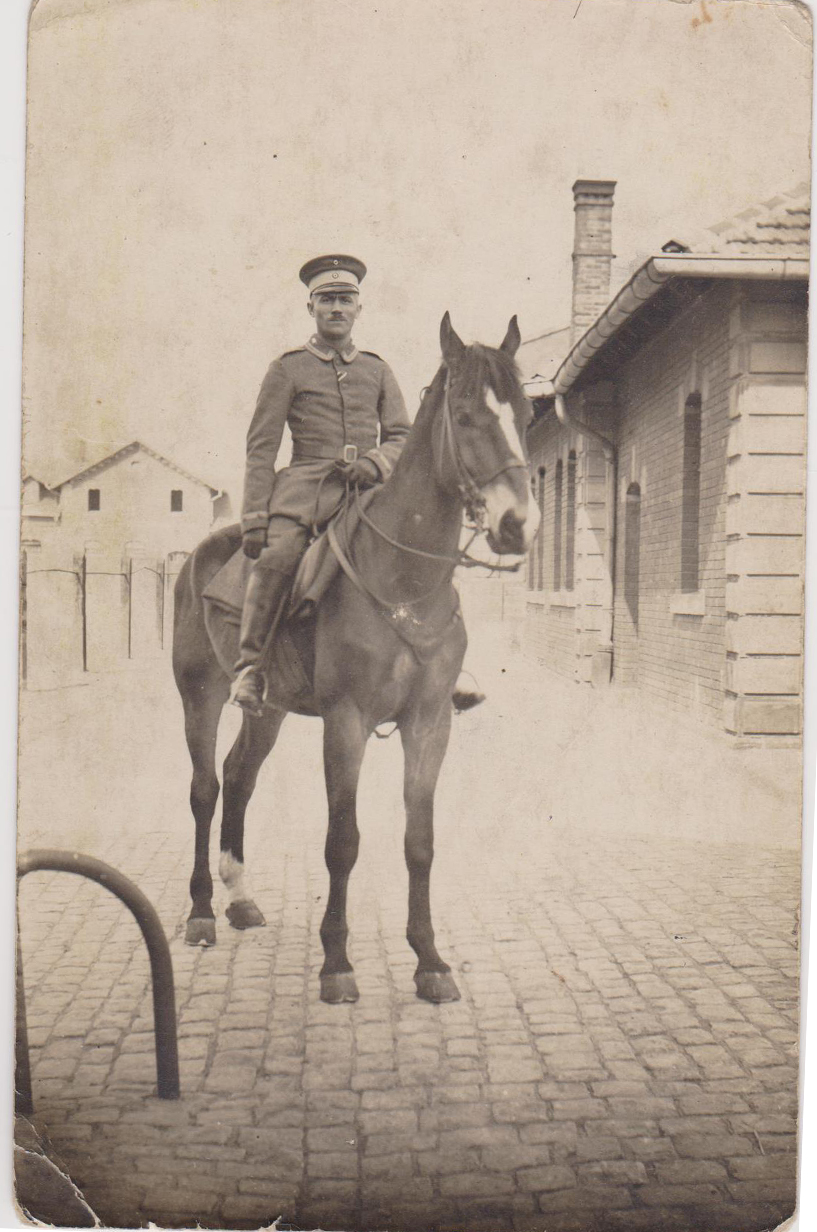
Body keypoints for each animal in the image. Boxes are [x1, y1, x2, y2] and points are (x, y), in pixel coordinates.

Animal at [172, 315, 539, 1000]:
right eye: (466, 414)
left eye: (526, 414)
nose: (516, 527)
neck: (404, 579)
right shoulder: (346, 722)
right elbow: (342, 841)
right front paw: (337, 962)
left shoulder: (430, 723)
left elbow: (419, 842)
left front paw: (430, 960)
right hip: (198, 695)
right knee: (206, 787)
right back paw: (203, 911)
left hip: (268, 709)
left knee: (239, 775)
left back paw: (240, 899)